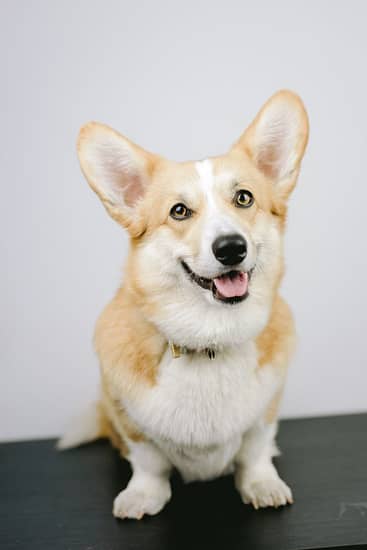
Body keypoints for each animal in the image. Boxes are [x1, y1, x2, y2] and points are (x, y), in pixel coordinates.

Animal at [59, 90, 310, 520]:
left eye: (244, 198)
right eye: (179, 211)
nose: (231, 248)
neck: (209, 340)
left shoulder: (265, 414)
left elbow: (256, 450)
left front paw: (262, 484)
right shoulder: (129, 419)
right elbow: (148, 462)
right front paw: (143, 495)